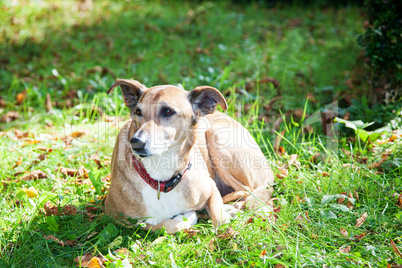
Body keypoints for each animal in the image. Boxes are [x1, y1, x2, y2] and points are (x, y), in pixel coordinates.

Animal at [104, 78, 274, 233]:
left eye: (167, 111)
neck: (161, 175)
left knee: (249, 192)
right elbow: (160, 226)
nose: (136, 142)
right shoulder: (113, 215)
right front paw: (184, 218)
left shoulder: (211, 188)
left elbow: (220, 219)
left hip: (217, 137)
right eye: (138, 112)